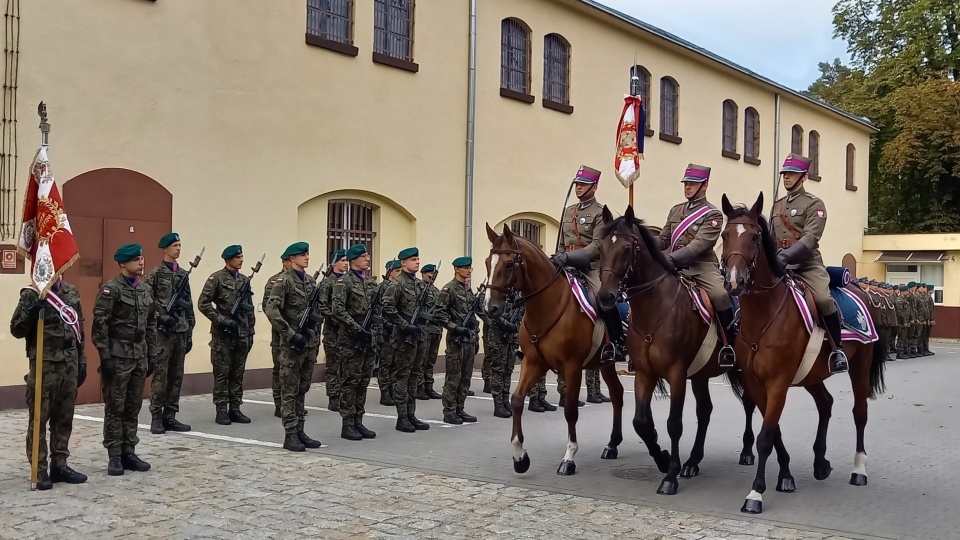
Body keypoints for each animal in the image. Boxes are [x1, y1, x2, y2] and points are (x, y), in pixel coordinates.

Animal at [484, 224, 628, 476]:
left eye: (509, 264)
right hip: (606, 363)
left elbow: (570, 409)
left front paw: (569, 457)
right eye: (486, 263)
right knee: (617, 394)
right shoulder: (533, 363)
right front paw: (520, 456)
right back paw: (612, 445)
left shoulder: (572, 367)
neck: (549, 305)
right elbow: (517, 400)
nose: (490, 308)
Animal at [592, 205, 756, 496]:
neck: (656, 306)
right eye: (600, 248)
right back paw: (693, 461)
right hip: (701, 375)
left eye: (626, 248)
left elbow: (674, 424)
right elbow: (641, 422)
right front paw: (662, 458)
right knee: (705, 411)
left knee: (748, 403)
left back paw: (746, 451)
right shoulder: (645, 373)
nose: (605, 297)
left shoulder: (676, 373)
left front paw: (670, 476)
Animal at [716, 193, 888, 516]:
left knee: (859, 412)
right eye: (725, 235)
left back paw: (859, 470)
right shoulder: (756, 384)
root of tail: (859, 287)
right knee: (826, 404)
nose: (734, 281)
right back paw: (820, 462)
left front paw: (755, 494)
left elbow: (766, 437)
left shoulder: (778, 383)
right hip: (812, 374)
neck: (765, 314)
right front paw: (785, 476)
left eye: (755, 237)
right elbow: (774, 432)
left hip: (860, 365)